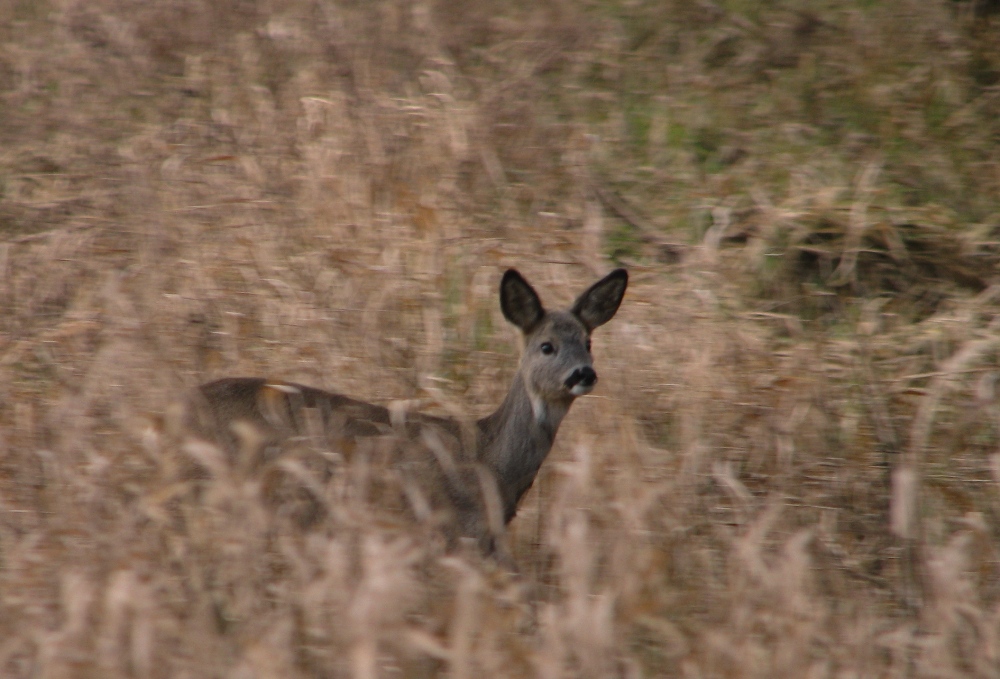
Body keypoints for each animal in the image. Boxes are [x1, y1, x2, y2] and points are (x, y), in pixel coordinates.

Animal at [192, 268, 628, 560]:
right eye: (546, 345)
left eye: (588, 342)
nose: (583, 373)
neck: (492, 462)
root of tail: (183, 402)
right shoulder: (454, 531)